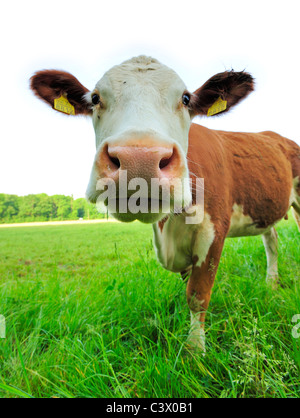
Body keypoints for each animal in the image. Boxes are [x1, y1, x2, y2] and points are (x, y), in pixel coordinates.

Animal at [30, 56, 300, 352]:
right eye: (95, 98)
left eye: (185, 98)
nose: (140, 159)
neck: (170, 227)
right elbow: (187, 287)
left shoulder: (214, 229)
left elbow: (197, 294)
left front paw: (194, 350)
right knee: (272, 242)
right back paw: (271, 284)